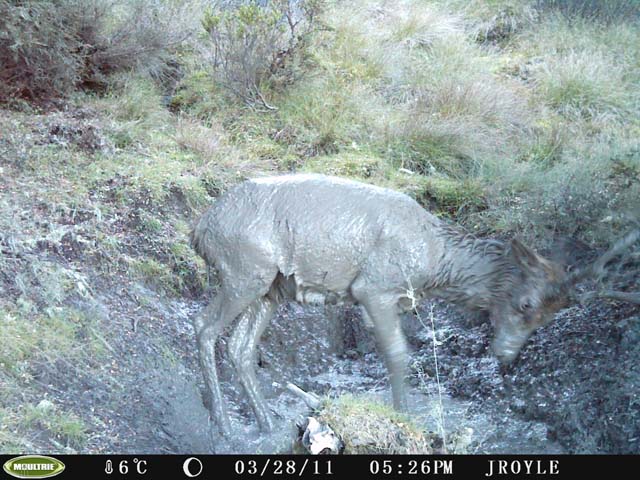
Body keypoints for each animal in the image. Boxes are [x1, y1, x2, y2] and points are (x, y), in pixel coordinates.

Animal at [190, 173, 639, 436]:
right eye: (526, 305)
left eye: (548, 318)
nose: (506, 355)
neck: (434, 263)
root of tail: (199, 229)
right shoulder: (374, 287)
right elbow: (398, 353)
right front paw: (405, 418)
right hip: (243, 270)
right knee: (205, 328)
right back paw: (224, 425)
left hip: (271, 286)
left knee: (240, 347)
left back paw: (266, 423)